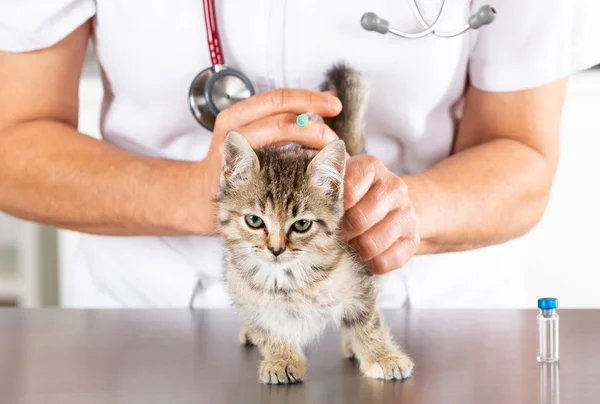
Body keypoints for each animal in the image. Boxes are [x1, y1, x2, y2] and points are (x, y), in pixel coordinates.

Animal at [216, 64, 412, 386]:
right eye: (254, 221)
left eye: (302, 224)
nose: (276, 249)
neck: (288, 279)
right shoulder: (248, 296)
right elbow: (268, 329)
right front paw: (282, 359)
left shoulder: (360, 281)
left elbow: (368, 322)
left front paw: (382, 356)